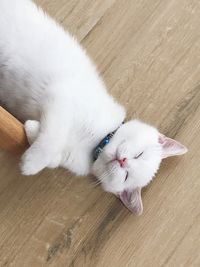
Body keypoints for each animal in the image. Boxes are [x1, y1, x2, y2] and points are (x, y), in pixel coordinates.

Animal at [0, 0, 188, 215]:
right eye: (139, 154)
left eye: (126, 176)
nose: (123, 161)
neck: (97, 141)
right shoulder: (62, 96)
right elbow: (53, 138)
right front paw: (31, 163)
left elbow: (52, 152)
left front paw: (32, 131)